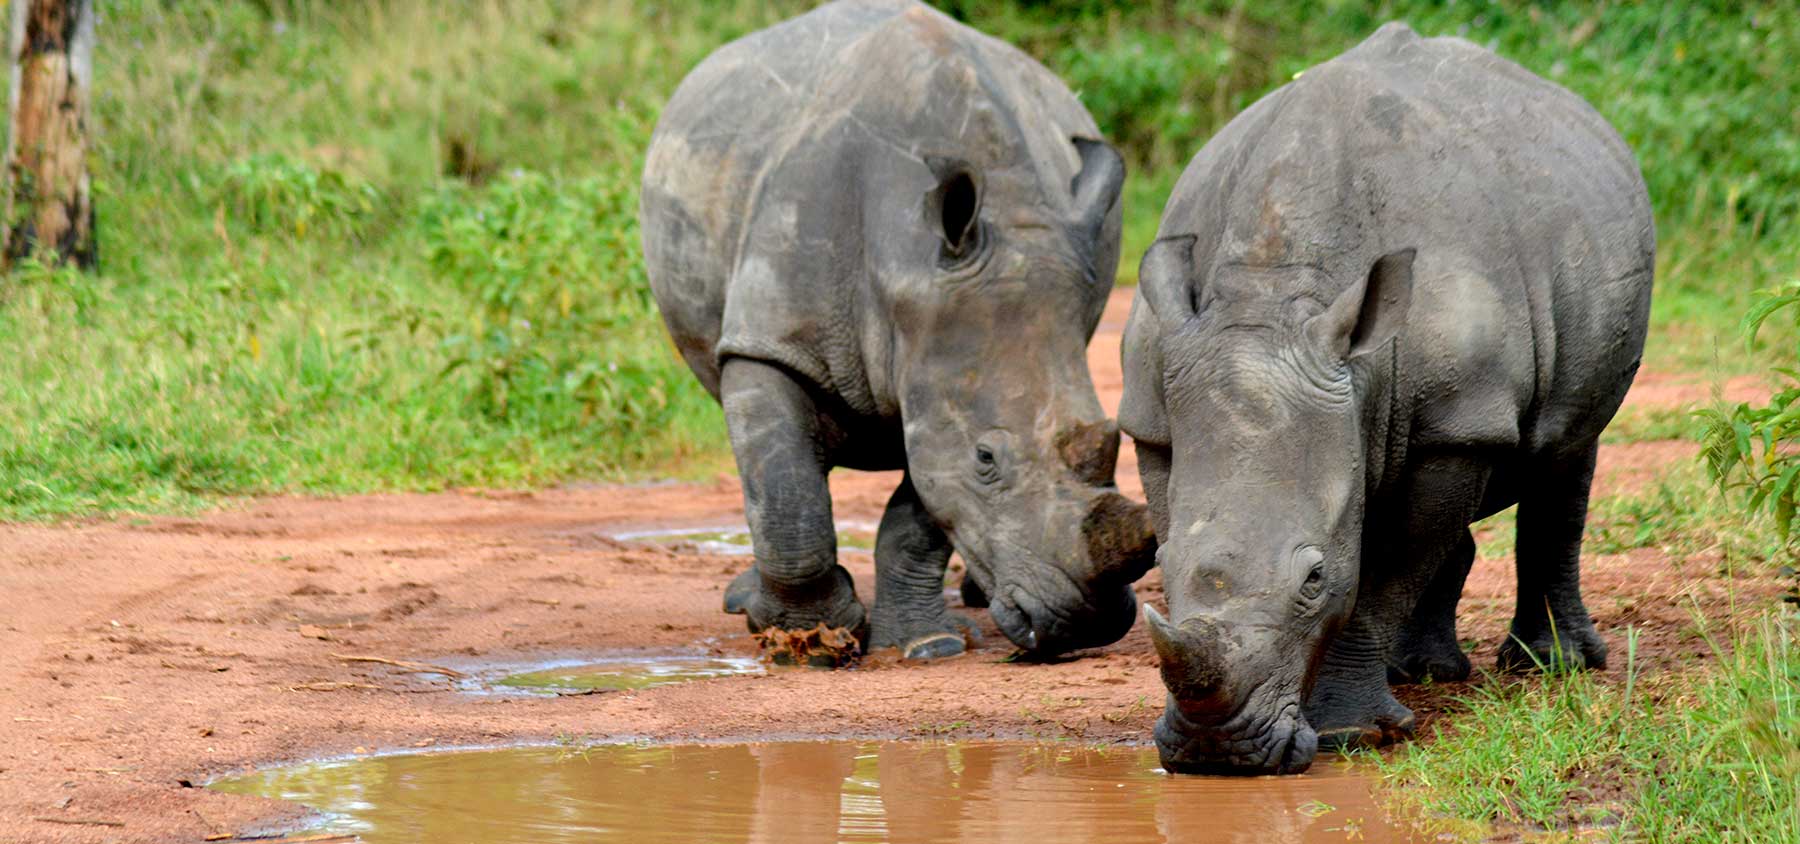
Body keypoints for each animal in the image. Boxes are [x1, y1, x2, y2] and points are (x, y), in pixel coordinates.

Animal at [640, 0, 1155, 660]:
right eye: (986, 458)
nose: (1089, 623)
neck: (904, 272)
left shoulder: (938, 360)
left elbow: (922, 506)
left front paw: (928, 645)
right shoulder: (772, 342)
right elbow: (785, 490)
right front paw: (807, 640)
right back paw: (744, 604)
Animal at [1120, 23, 1654, 773]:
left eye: (1315, 578)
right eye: (1158, 569)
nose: (1216, 752)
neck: (1272, 293)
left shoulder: (1458, 419)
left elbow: (1382, 575)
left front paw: (1353, 734)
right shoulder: (1155, 414)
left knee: (1566, 452)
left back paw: (1552, 666)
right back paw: (1424, 672)